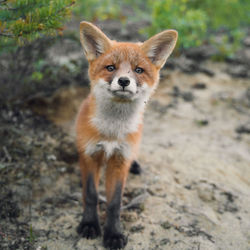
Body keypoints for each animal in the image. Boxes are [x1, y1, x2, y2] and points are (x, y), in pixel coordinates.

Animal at [75, 22, 177, 250]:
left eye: (138, 70)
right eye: (111, 68)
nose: (123, 80)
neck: (112, 133)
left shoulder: (120, 160)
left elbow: (115, 203)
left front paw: (113, 234)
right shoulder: (90, 155)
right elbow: (91, 195)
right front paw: (89, 225)